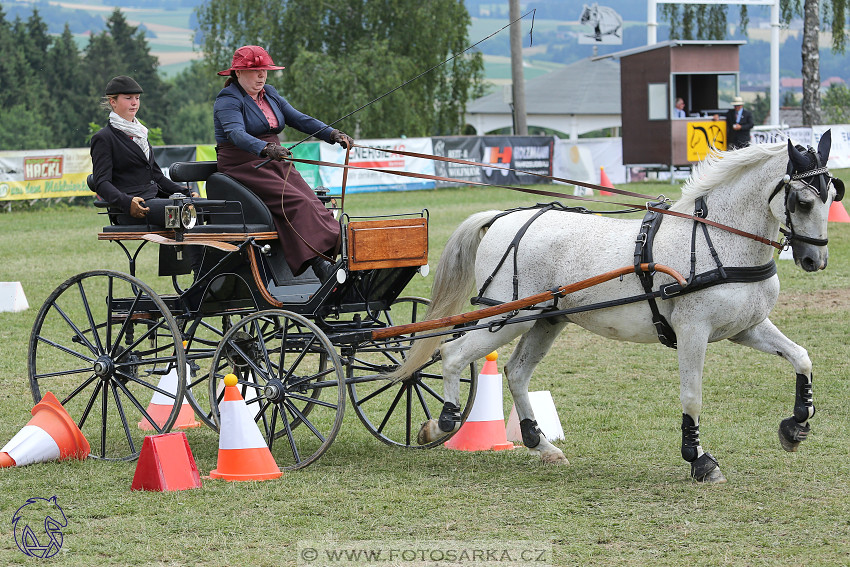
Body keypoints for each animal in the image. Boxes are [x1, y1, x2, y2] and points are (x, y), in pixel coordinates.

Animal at [400, 134, 840, 484]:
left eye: (834, 195)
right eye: (802, 201)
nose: (815, 261)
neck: (717, 238)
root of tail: (503, 217)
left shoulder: (745, 328)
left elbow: (801, 357)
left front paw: (796, 426)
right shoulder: (693, 332)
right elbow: (692, 396)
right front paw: (699, 461)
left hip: (546, 320)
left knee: (517, 371)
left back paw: (540, 445)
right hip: (504, 317)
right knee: (451, 353)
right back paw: (442, 422)